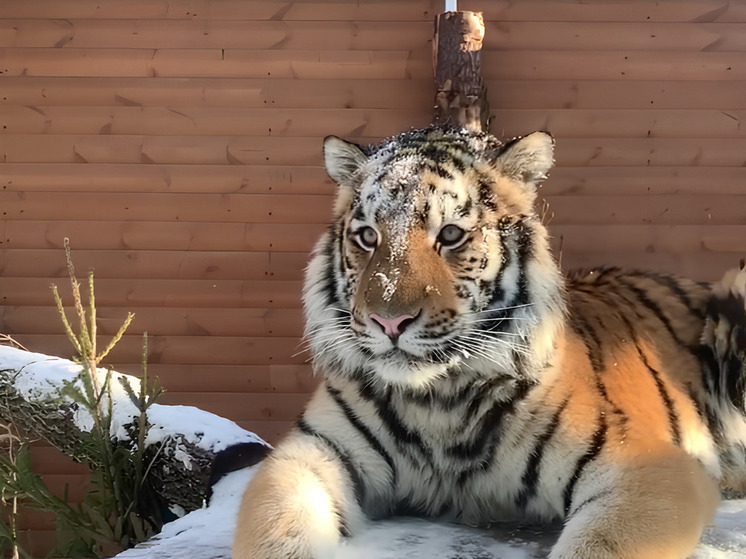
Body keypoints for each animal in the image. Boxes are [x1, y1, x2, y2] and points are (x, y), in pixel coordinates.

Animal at [232, 127, 744, 559]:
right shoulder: (310, 453)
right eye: (367, 236)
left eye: (451, 235)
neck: (437, 402)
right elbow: (277, 529)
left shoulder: (647, 468)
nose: (388, 321)